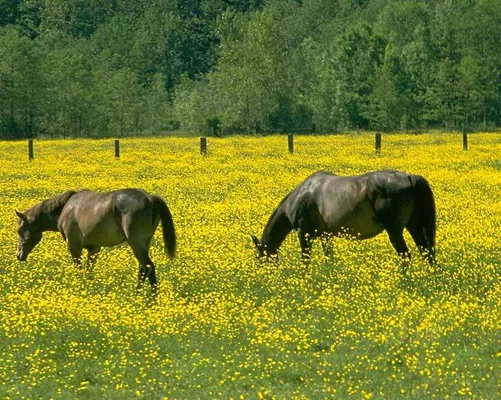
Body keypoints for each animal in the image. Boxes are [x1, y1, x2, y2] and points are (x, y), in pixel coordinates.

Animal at [15, 188, 176, 294]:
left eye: (19, 230)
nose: (19, 255)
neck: (65, 209)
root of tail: (149, 198)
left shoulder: (74, 247)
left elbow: (79, 270)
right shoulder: (93, 248)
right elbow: (89, 271)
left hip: (135, 243)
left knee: (148, 267)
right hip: (144, 243)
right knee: (143, 269)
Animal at [252, 170, 436, 268]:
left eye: (259, 257)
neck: (300, 196)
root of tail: (410, 177)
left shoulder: (304, 234)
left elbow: (305, 260)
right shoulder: (325, 236)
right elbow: (329, 258)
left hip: (395, 231)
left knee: (406, 256)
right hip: (414, 227)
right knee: (426, 252)